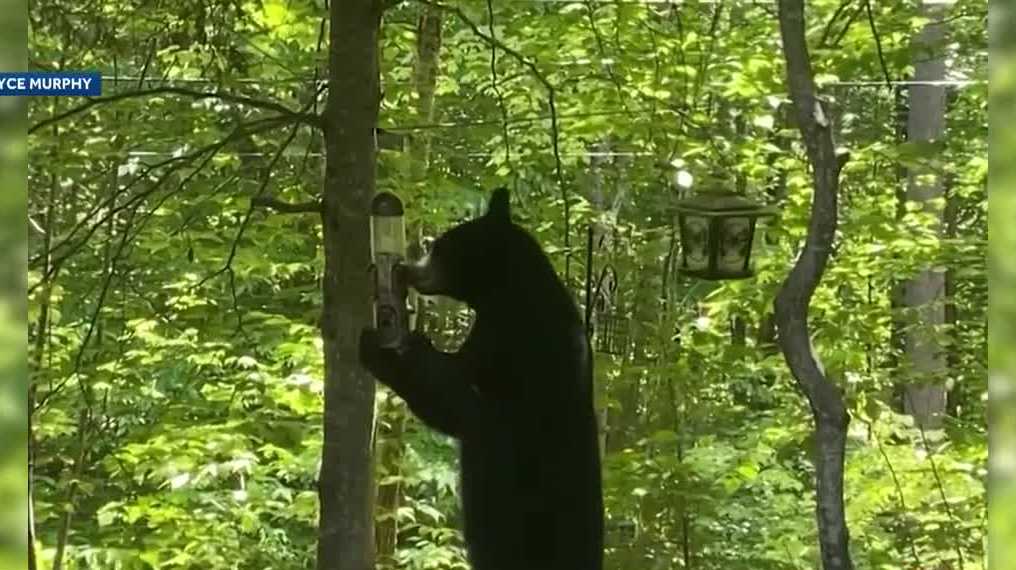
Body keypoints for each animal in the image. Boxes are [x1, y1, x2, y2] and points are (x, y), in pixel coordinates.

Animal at [359, 187, 603, 570]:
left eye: (439, 249)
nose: (406, 269)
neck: (513, 294)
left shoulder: (509, 349)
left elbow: (452, 396)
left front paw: (387, 349)